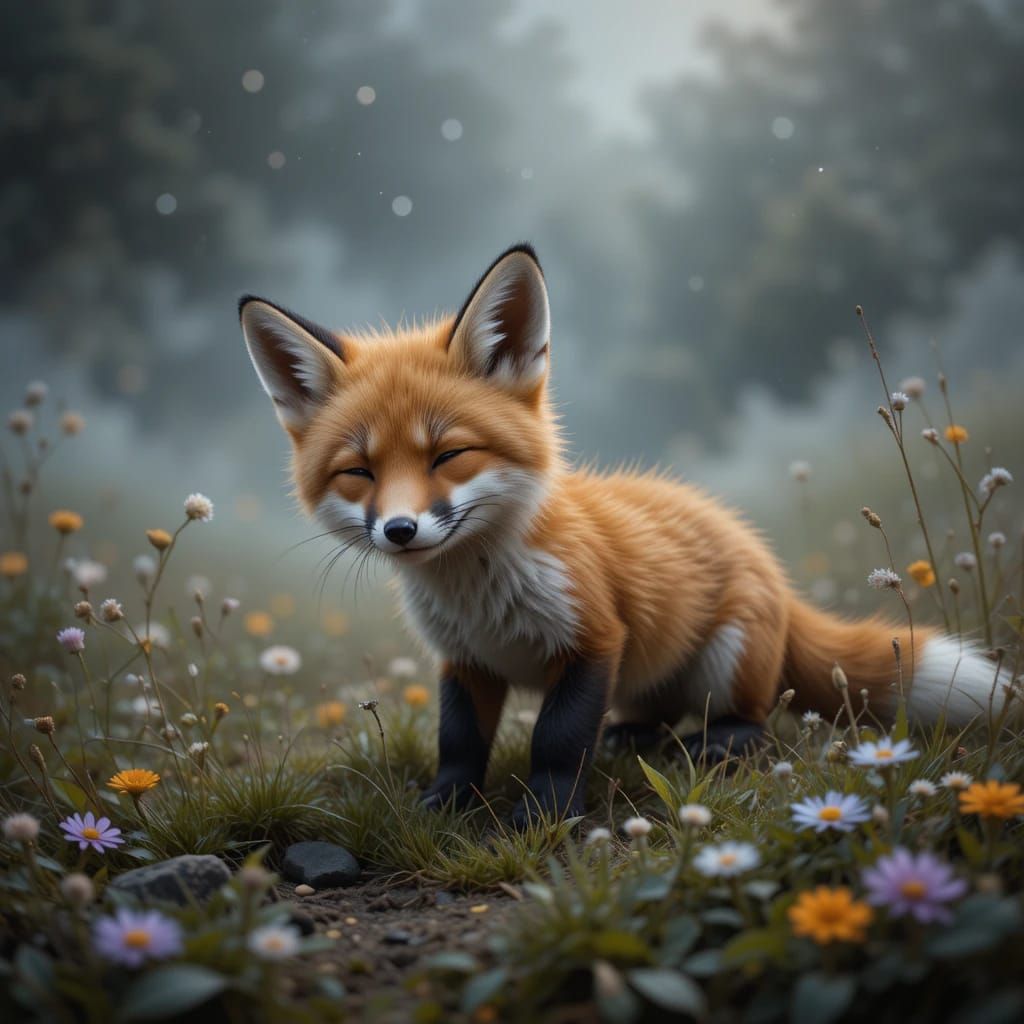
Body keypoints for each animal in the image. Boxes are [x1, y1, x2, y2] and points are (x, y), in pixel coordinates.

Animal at [238, 243, 1011, 826]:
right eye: (359, 472)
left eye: (448, 456)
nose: (400, 530)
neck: (481, 595)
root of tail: (771, 567)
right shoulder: (466, 661)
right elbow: (457, 741)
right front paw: (445, 804)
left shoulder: (593, 640)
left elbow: (555, 739)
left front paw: (544, 816)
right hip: (649, 676)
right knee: (659, 716)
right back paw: (635, 736)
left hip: (727, 659)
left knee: (757, 719)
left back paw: (716, 742)